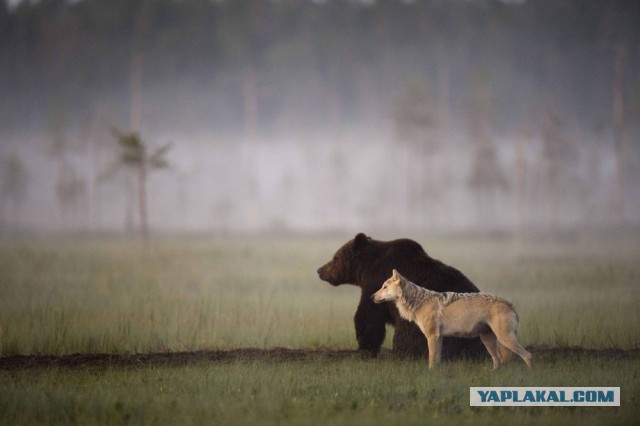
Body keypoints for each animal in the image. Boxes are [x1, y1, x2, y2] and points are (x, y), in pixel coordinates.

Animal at [316, 233, 484, 360]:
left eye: (335, 257)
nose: (320, 270)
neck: (366, 268)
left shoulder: (375, 283)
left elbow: (368, 317)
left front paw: (365, 349)